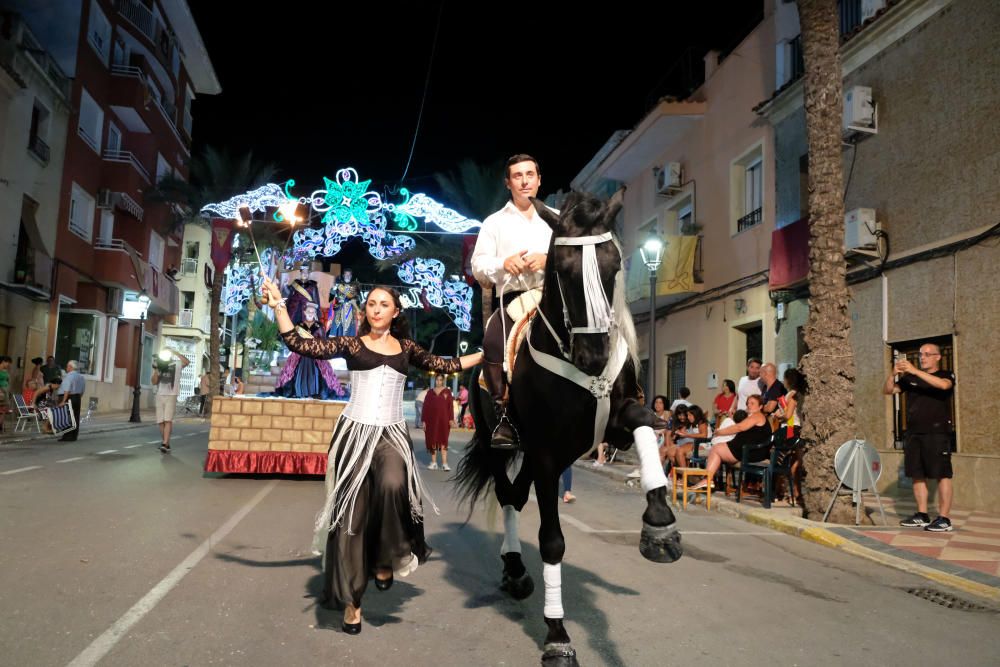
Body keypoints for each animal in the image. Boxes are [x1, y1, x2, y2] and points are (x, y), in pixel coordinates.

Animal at [458, 190, 684, 664]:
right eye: (562, 270)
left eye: (613, 266)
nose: (593, 356)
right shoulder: (545, 453)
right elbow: (552, 542)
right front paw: (557, 635)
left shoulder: (614, 425)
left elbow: (643, 424)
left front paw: (660, 524)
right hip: (498, 443)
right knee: (508, 495)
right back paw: (515, 569)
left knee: (516, 495)